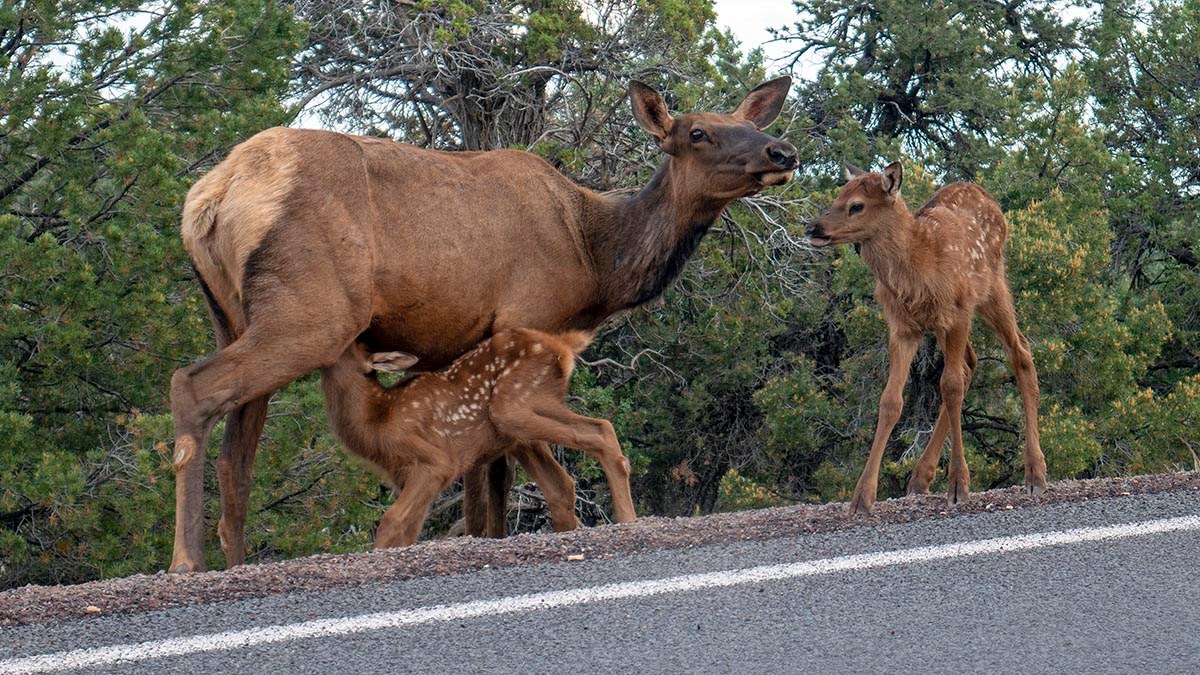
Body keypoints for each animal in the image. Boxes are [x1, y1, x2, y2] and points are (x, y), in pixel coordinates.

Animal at [319, 326, 638, 547]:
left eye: (350, 343)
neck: (379, 420)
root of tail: (564, 345)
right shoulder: (404, 477)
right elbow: (408, 530)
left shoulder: (436, 461)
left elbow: (391, 520)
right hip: (522, 425)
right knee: (564, 481)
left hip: (513, 405)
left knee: (599, 431)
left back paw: (627, 520)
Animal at [806, 162, 1051, 509]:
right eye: (837, 197)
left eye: (856, 205)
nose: (813, 228)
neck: (919, 266)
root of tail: (988, 198)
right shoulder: (902, 326)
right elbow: (890, 401)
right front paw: (862, 497)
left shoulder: (959, 310)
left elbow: (950, 387)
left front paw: (959, 484)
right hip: (945, 323)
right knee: (971, 363)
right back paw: (920, 477)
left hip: (991, 289)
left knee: (1021, 352)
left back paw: (1035, 473)